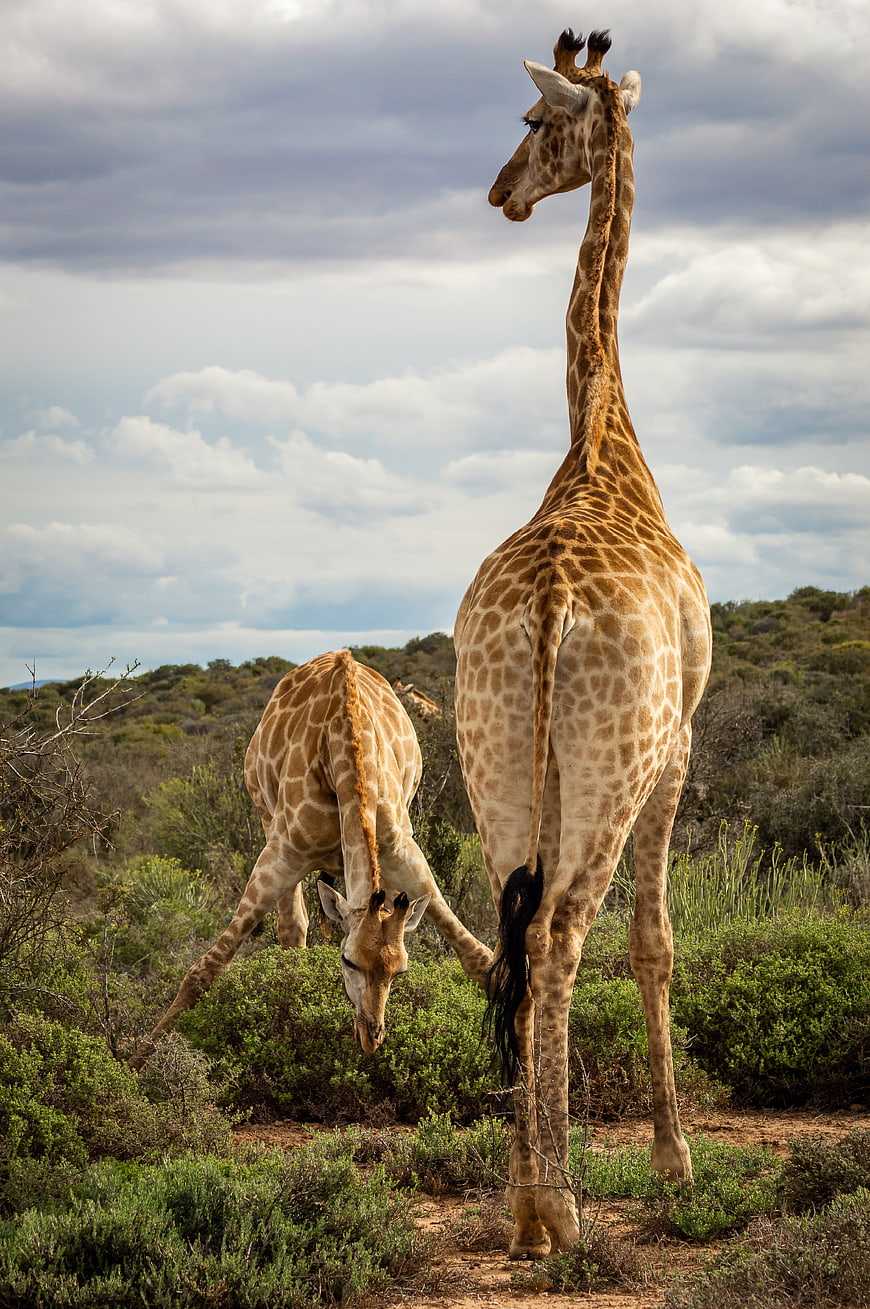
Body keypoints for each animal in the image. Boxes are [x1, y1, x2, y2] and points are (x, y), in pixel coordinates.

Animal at [130, 650, 491, 1069]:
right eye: (348, 960)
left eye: (399, 971)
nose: (371, 1038)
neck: (345, 749)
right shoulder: (283, 853)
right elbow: (206, 968)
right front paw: (135, 1063)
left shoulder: (402, 851)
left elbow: (479, 958)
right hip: (266, 818)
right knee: (291, 929)